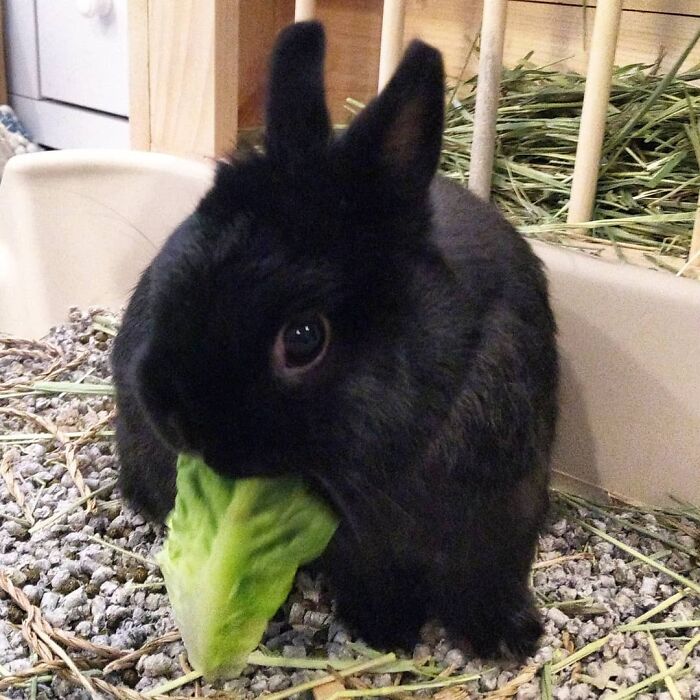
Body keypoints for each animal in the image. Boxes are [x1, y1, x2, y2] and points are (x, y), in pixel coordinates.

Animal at [111, 21, 558, 659]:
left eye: (303, 338)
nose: (175, 421)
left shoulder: (504, 519)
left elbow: (486, 582)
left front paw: (508, 639)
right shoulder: (362, 552)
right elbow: (375, 583)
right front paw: (387, 632)